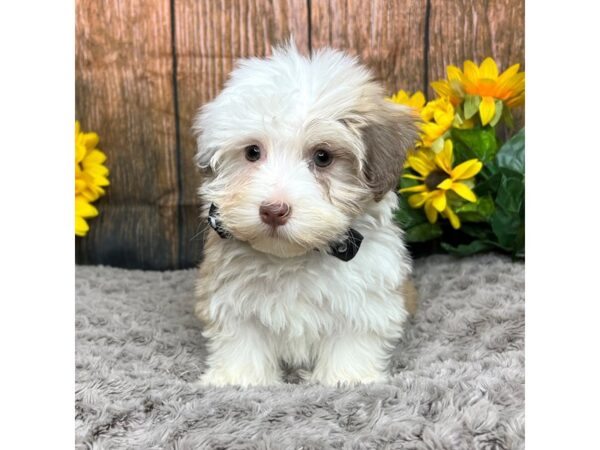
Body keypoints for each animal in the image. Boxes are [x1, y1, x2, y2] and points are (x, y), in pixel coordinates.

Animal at [195, 43, 420, 386]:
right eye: (252, 152)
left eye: (323, 157)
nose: (273, 210)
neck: (295, 258)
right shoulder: (230, 293)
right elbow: (242, 337)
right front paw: (240, 378)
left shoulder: (366, 294)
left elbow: (352, 336)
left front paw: (346, 377)